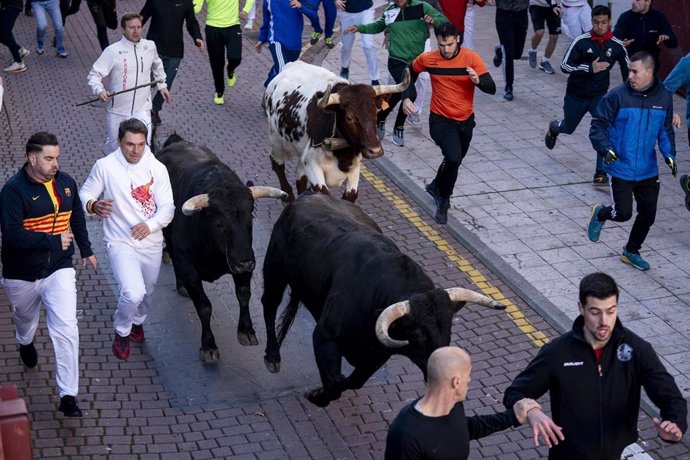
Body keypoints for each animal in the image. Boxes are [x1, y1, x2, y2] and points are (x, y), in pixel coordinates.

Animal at [157, 135, 284, 362]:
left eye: (250, 217)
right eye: (218, 223)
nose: (245, 262)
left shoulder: (244, 260)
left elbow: (243, 294)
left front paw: (246, 330)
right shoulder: (189, 266)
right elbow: (204, 306)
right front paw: (208, 346)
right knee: (171, 253)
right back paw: (181, 285)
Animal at [260, 60, 406, 202]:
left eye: (375, 114)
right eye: (349, 117)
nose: (375, 151)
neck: (343, 152)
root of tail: (290, 65)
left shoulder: (354, 167)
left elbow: (351, 196)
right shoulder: (312, 163)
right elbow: (324, 194)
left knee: (300, 179)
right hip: (276, 138)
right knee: (277, 165)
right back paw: (288, 196)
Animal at [260, 192, 506, 408]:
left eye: (448, 328)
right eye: (417, 334)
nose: (445, 373)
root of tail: (307, 195)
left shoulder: (377, 356)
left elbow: (353, 382)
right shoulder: (324, 336)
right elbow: (335, 382)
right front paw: (317, 396)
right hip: (274, 270)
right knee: (269, 304)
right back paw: (272, 357)